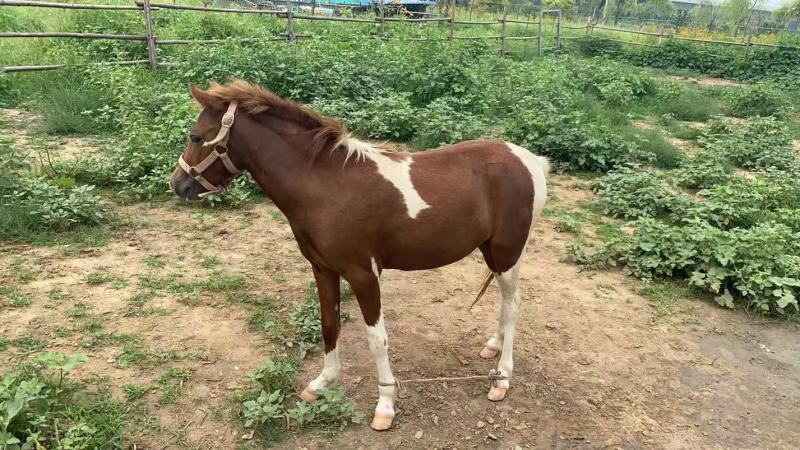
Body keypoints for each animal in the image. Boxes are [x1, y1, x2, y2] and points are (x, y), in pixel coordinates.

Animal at [170, 80, 549, 431]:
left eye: (197, 137)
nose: (178, 185)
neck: (325, 186)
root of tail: (529, 160)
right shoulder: (322, 270)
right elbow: (329, 325)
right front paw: (321, 384)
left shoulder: (363, 275)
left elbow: (376, 340)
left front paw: (385, 405)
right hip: (491, 251)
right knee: (505, 302)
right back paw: (493, 345)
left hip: (508, 252)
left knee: (512, 306)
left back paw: (501, 378)